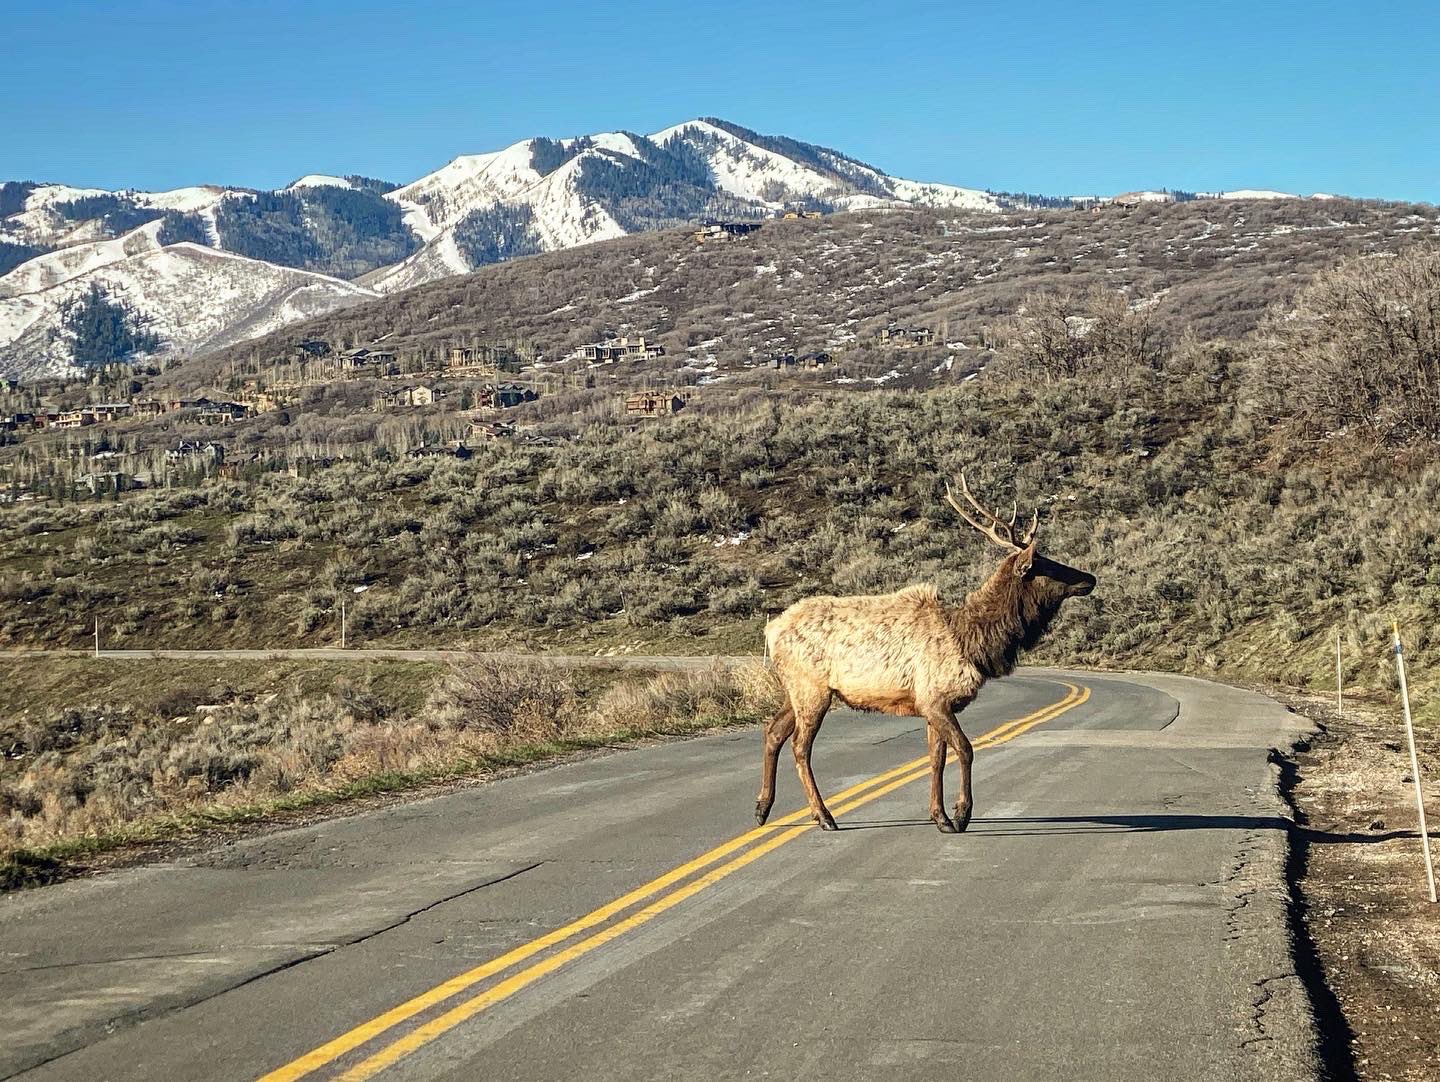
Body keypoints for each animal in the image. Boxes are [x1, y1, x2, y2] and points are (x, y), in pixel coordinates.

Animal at [760, 472, 1082, 829]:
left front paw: (939, 816)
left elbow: (936, 758)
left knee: (773, 731)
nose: (1090, 578)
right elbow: (965, 749)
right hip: (811, 689)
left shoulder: (933, 705)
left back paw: (762, 808)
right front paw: (961, 813)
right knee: (800, 746)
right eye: (1048, 566)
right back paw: (823, 816)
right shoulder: (935, 698)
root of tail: (771, 631)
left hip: (796, 690)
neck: (973, 642)